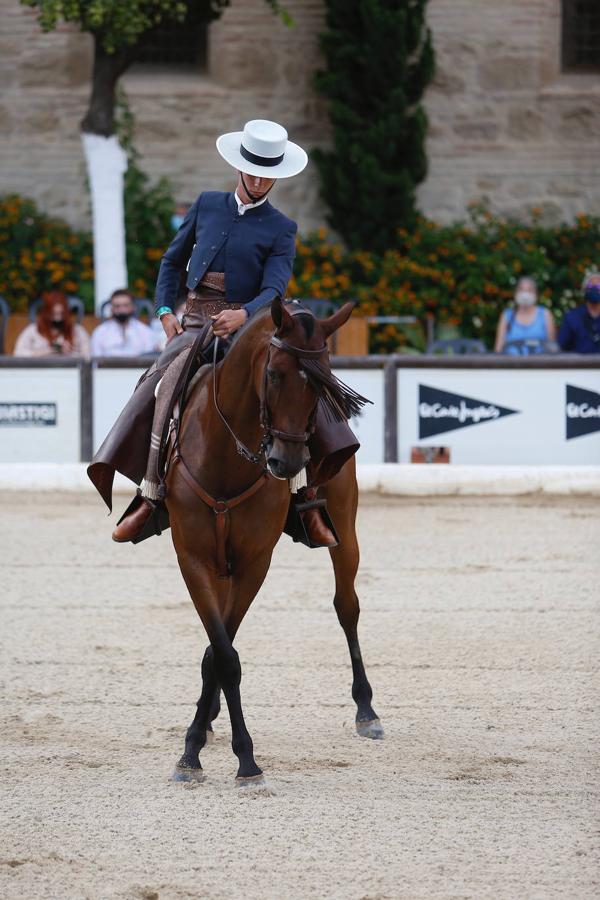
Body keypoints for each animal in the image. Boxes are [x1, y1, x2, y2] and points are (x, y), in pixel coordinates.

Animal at [166, 298, 382, 784]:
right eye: (274, 374)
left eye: (323, 381)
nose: (289, 462)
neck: (224, 458)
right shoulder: (194, 559)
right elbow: (222, 651)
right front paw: (195, 749)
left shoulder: (254, 563)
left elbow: (222, 655)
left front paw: (241, 758)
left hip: (345, 528)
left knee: (347, 607)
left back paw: (367, 710)